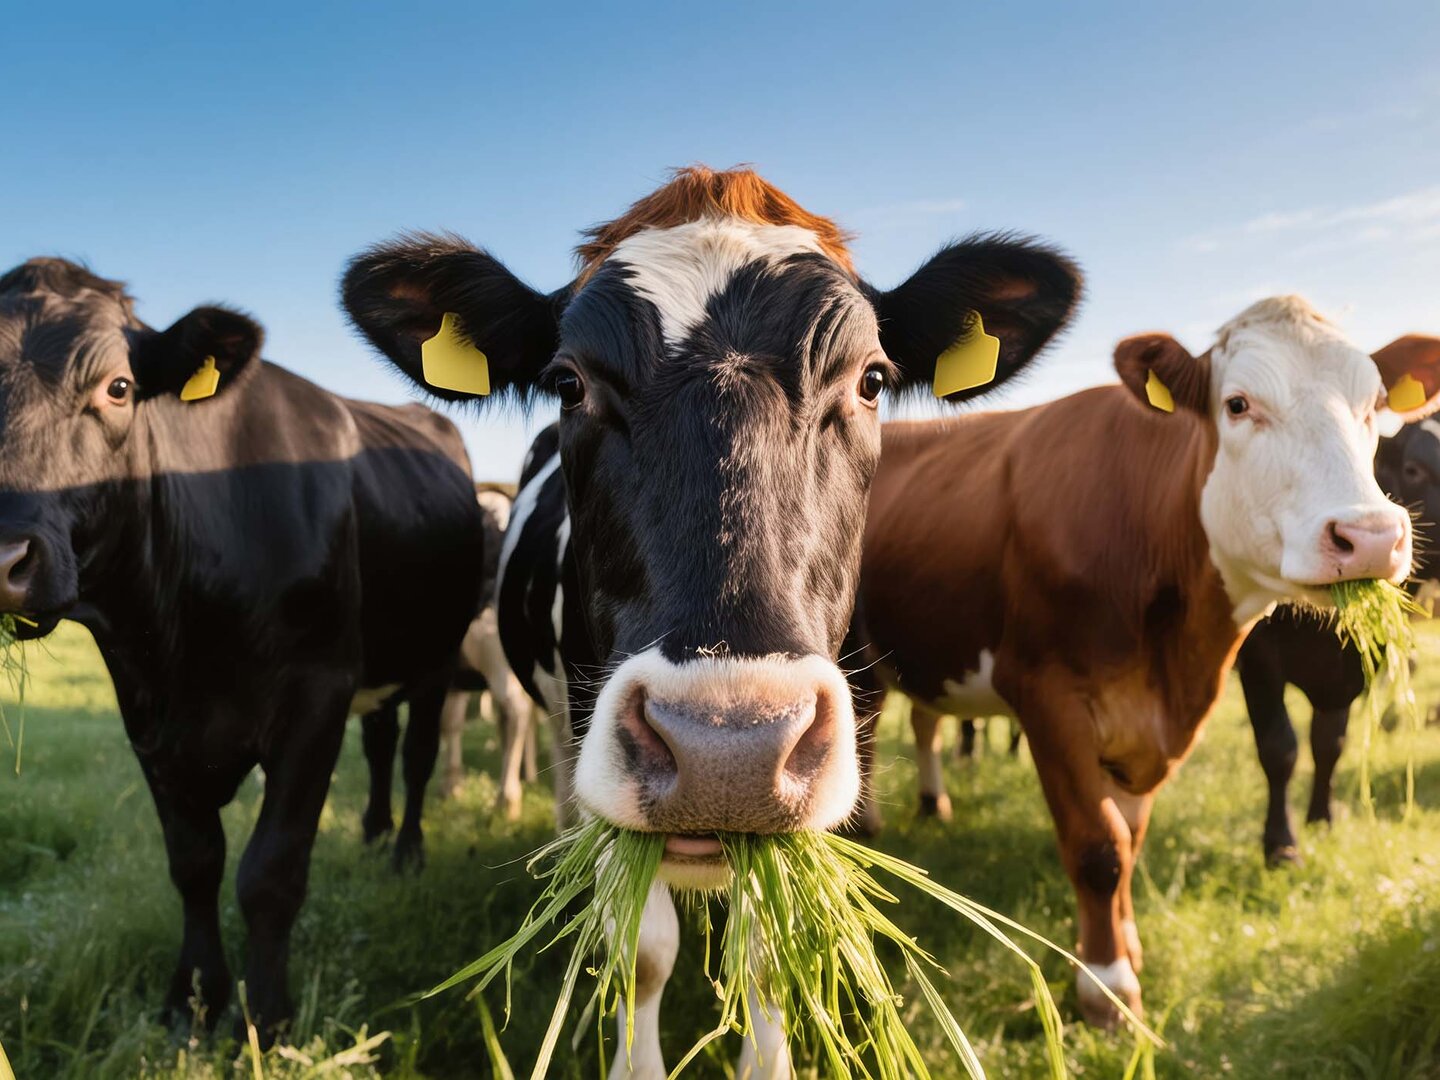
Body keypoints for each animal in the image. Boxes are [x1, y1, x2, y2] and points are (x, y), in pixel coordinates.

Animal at [0, 258, 485, 1040]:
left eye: (118, 388)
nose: (2, 556)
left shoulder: (317, 695)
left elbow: (269, 872)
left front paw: (268, 1017)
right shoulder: (147, 714)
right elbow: (194, 863)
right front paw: (193, 997)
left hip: (438, 652)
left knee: (414, 758)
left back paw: (406, 851)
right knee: (382, 743)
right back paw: (373, 832)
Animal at [1239, 417, 1440, 865]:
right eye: (1414, 469)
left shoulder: (1350, 671)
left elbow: (1329, 743)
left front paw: (1322, 818)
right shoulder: (1257, 659)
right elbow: (1279, 748)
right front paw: (1281, 844)